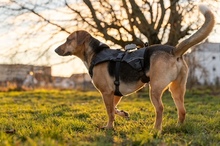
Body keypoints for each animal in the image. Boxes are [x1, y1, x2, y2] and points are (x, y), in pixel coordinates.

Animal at [55, 4, 215, 131]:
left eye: (68, 40)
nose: (56, 50)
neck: (96, 53)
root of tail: (173, 50)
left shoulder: (106, 93)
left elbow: (110, 112)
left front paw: (109, 127)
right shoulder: (116, 94)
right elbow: (114, 109)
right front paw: (123, 114)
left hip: (155, 89)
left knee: (160, 109)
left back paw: (156, 129)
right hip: (177, 89)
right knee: (182, 111)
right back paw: (178, 127)